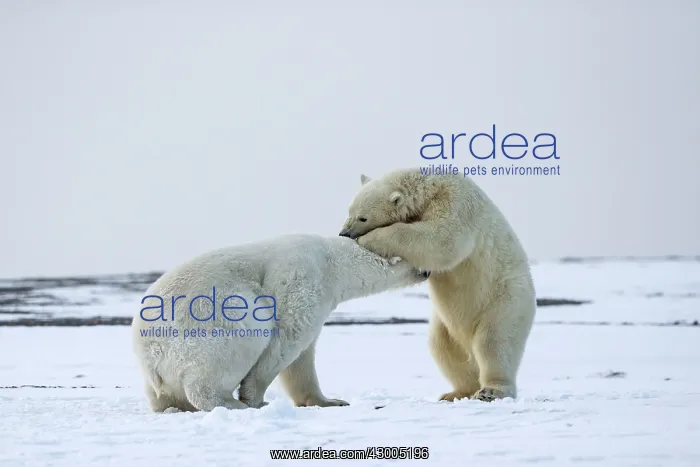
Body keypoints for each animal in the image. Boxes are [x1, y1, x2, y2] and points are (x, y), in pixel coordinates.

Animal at [131, 233, 429, 412]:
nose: (427, 272)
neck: (332, 262)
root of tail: (151, 355)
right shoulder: (302, 278)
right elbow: (287, 336)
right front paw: (253, 397)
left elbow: (302, 357)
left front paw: (330, 401)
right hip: (206, 327)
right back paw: (235, 404)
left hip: (158, 378)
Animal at [339, 168, 536, 402]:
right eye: (349, 210)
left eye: (363, 217)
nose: (344, 233)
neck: (431, 185)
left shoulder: (457, 206)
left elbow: (441, 240)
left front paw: (370, 240)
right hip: (446, 325)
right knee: (443, 346)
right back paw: (456, 392)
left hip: (505, 299)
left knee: (495, 342)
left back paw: (491, 390)